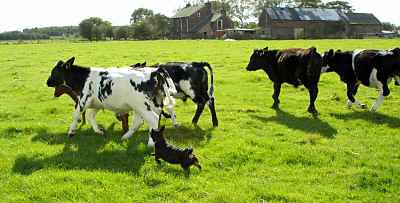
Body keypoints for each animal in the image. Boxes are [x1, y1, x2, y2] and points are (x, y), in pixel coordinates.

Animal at [46, 57, 176, 146]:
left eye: (54, 71)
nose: (47, 82)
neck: (85, 78)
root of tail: (154, 71)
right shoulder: (97, 103)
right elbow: (90, 116)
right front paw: (99, 131)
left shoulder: (83, 100)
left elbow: (77, 114)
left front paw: (71, 132)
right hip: (147, 105)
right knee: (142, 121)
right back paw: (126, 136)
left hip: (142, 105)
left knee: (153, 119)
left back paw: (150, 143)